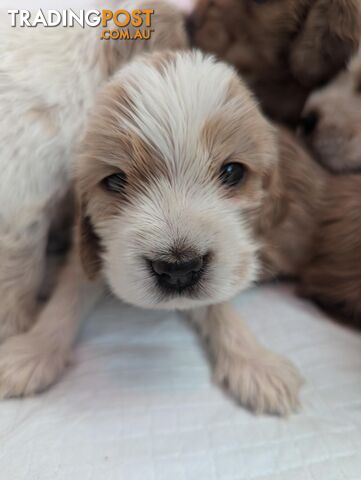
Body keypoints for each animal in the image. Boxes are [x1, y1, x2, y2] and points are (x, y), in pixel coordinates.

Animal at [0, 50, 336, 414]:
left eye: (233, 172)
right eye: (114, 181)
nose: (178, 269)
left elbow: (219, 304)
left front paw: (254, 363)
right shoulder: (93, 251)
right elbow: (68, 295)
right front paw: (32, 351)